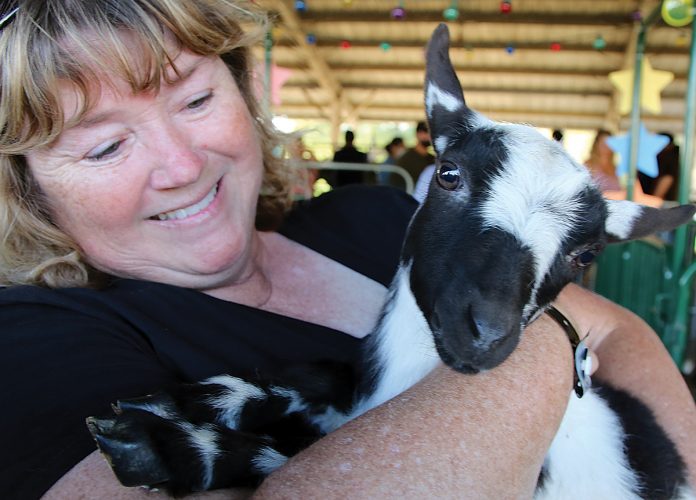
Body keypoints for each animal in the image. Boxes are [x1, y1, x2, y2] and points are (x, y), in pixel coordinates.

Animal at [88, 24, 696, 500]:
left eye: (585, 253)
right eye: (448, 174)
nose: (486, 332)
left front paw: (166, 446)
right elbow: (317, 374)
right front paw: (177, 401)